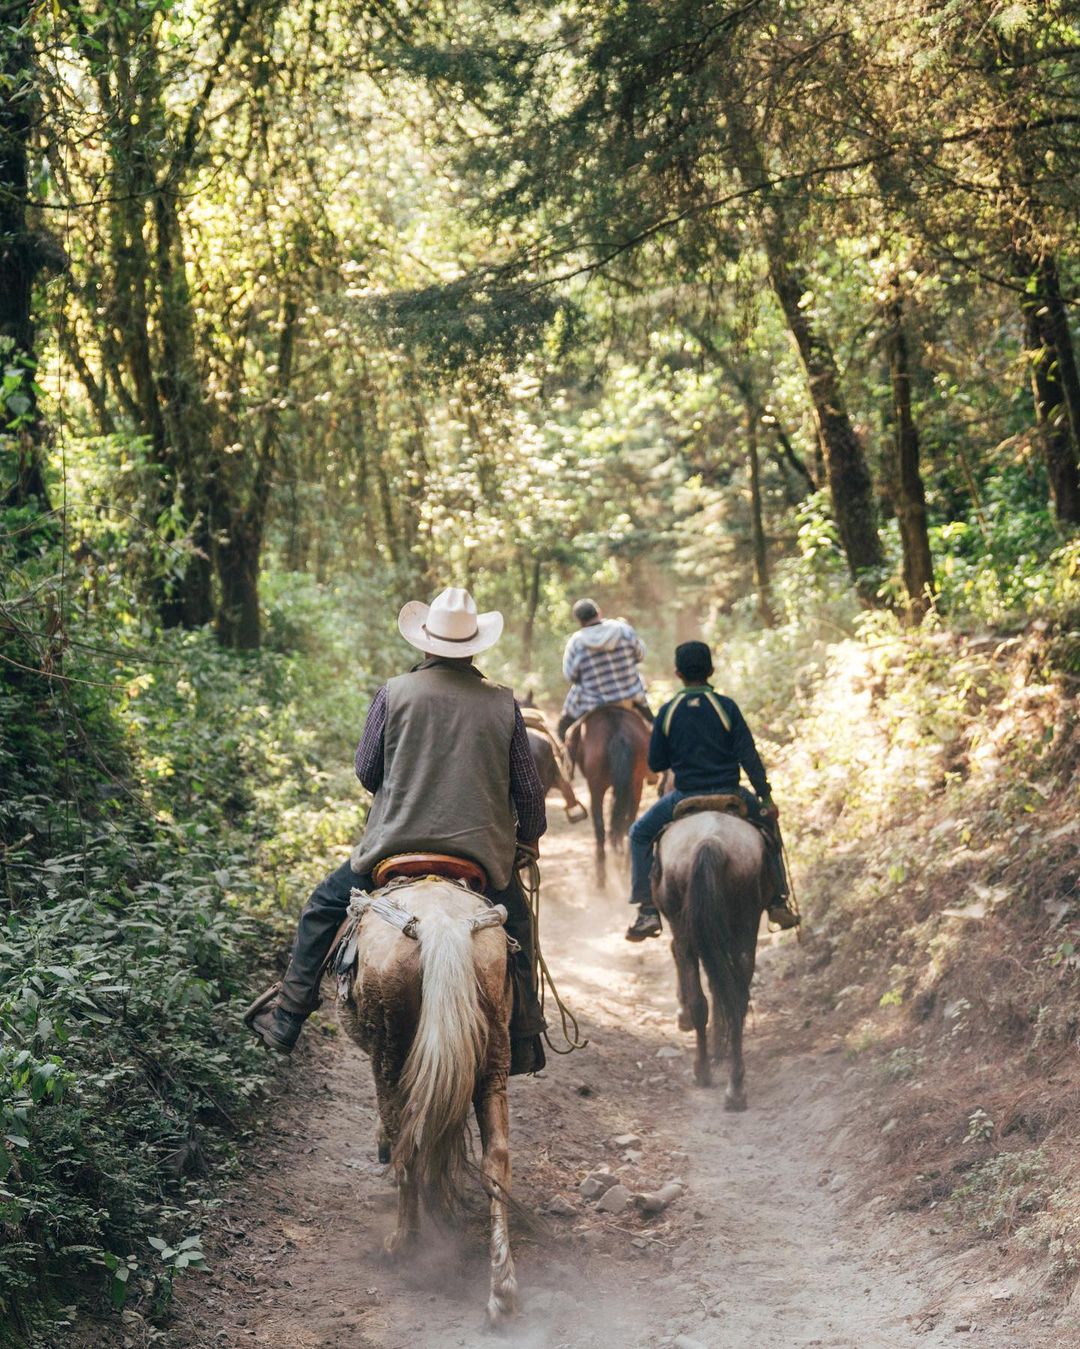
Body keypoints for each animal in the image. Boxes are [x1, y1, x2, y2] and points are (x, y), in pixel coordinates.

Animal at [341, 879, 517, 1322]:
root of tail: (439, 924)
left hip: (389, 1050)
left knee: (407, 1144)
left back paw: (403, 1242)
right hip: (494, 1048)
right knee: (496, 1159)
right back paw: (502, 1289)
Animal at [563, 706, 649, 884]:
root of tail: (618, 732)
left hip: (597, 787)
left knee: (600, 827)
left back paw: (601, 879)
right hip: (636, 784)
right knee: (628, 824)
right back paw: (626, 869)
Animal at [649, 798, 765, 1106]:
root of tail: (711, 841)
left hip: (692, 928)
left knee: (702, 998)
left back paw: (703, 1070)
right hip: (744, 926)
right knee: (735, 998)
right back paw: (735, 1087)